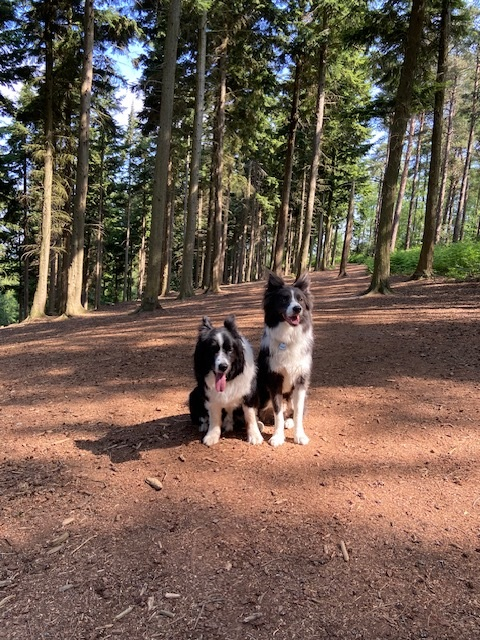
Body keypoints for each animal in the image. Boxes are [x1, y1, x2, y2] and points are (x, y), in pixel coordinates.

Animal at [189, 316, 262, 444]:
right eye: (212, 349)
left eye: (230, 349)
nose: (223, 366)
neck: (228, 379)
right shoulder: (210, 396)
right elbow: (214, 417)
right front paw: (212, 435)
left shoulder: (249, 395)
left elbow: (250, 416)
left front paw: (255, 435)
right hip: (194, 394)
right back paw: (204, 425)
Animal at [256, 270, 314, 444]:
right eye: (284, 299)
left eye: (300, 299)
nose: (297, 309)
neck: (288, 338)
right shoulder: (274, 380)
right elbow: (277, 413)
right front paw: (277, 437)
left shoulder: (301, 381)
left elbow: (298, 413)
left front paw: (299, 435)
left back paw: (289, 421)